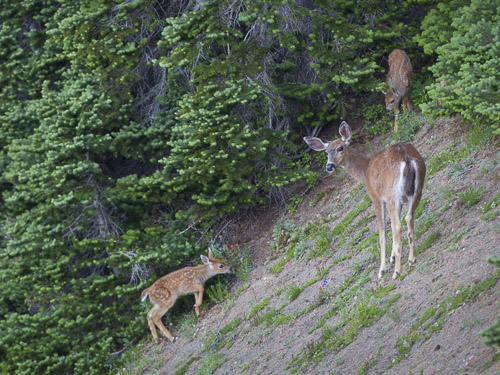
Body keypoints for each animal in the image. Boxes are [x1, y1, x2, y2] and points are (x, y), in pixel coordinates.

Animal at [304, 122, 426, 280]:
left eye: (340, 148)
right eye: (326, 152)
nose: (329, 166)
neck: (365, 170)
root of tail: (407, 159)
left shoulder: (377, 198)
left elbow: (382, 234)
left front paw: (382, 269)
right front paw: (392, 257)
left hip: (392, 195)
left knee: (397, 226)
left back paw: (396, 272)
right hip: (418, 188)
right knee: (409, 218)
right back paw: (411, 259)